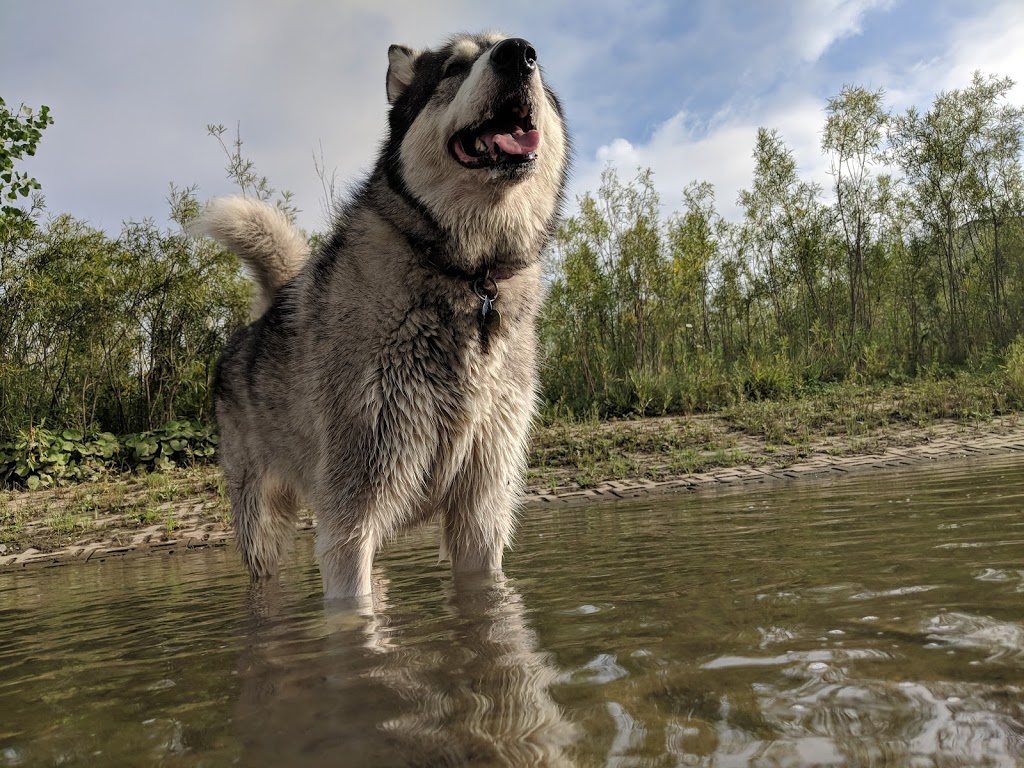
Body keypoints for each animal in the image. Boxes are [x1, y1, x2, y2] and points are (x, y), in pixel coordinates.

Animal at [192, 31, 573, 602]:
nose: (517, 52)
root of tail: (264, 315)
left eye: (537, 64)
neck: (469, 277)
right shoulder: (351, 517)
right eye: (454, 67)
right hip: (262, 529)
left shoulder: (482, 513)